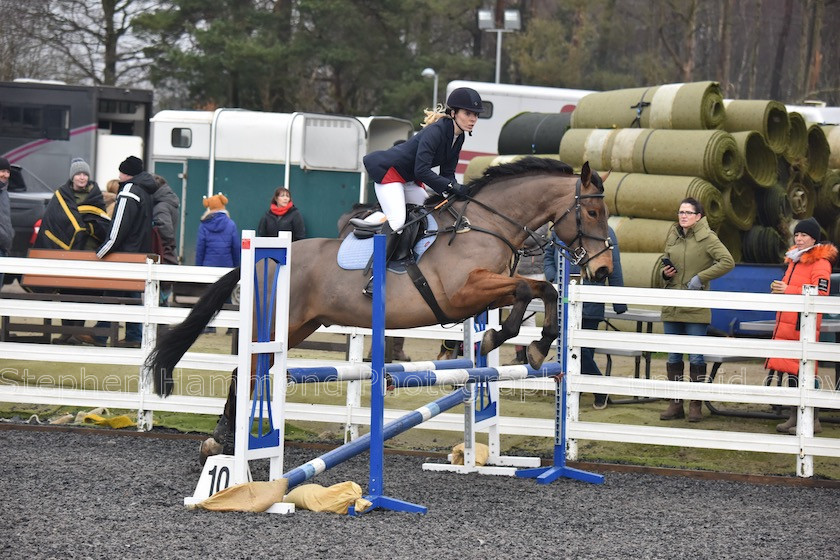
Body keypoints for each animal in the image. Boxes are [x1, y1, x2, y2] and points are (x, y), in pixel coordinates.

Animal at [148, 158, 612, 460]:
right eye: (592, 211)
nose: (604, 268)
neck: (486, 224)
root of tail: (262, 259)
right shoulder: (463, 292)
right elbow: (526, 288)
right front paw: (508, 338)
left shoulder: (484, 293)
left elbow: (540, 287)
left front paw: (534, 345)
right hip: (281, 323)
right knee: (246, 370)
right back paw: (223, 442)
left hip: (301, 325)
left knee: (250, 372)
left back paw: (224, 440)